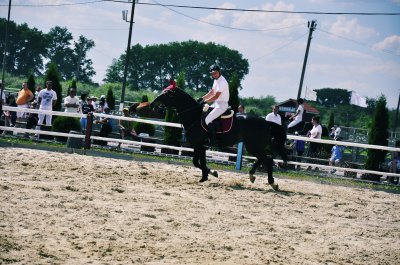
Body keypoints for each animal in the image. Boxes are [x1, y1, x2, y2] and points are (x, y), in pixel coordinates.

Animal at [150, 87, 288, 189]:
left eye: (166, 94)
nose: (152, 105)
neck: (194, 116)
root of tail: (265, 122)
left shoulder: (199, 145)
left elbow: (199, 162)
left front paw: (208, 175)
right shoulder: (198, 146)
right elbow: (198, 162)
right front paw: (208, 175)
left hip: (254, 145)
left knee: (267, 159)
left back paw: (272, 183)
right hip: (253, 146)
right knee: (264, 158)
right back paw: (252, 175)